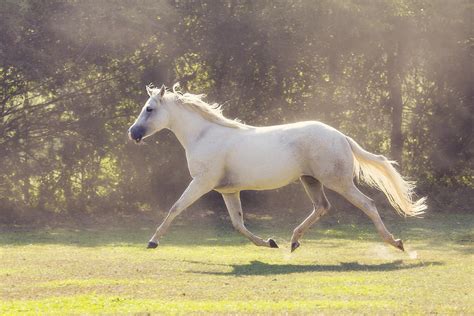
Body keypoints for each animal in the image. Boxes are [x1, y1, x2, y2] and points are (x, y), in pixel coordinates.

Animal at [127, 83, 426, 252]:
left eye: (149, 109)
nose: (133, 133)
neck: (203, 135)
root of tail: (340, 136)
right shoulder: (228, 191)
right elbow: (238, 224)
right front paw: (269, 242)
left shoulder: (201, 183)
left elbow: (175, 208)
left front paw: (152, 241)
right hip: (310, 180)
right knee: (322, 207)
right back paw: (292, 242)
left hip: (338, 181)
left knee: (368, 204)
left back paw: (396, 243)